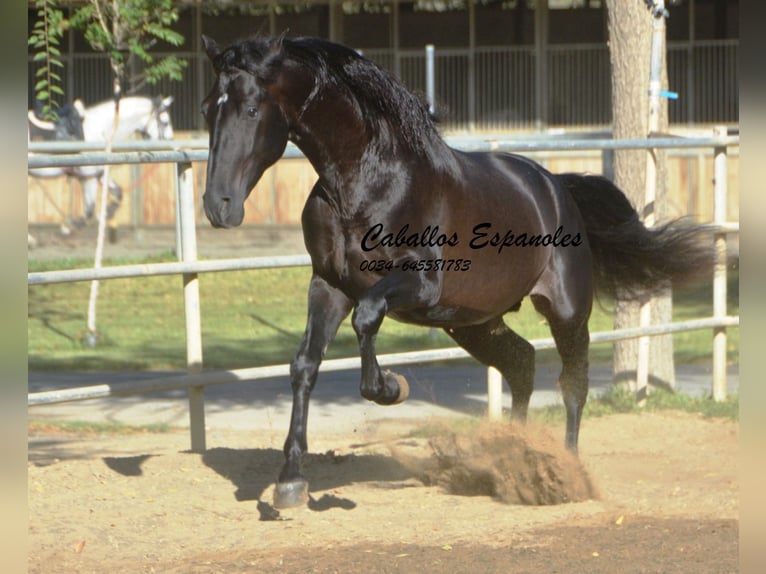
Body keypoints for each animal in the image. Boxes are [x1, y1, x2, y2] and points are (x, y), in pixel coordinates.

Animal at [200, 35, 712, 508]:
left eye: (251, 109)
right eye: (208, 110)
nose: (218, 206)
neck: (367, 184)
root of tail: (557, 187)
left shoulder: (420, 285)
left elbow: (367, 317)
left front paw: (391, 387)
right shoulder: (328, 286)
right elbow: (305, 364)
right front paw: (290, 481)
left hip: (565, 312)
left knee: (572, 384)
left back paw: (566, 475)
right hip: (473, 322)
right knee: (522, 364)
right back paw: (517, 461)